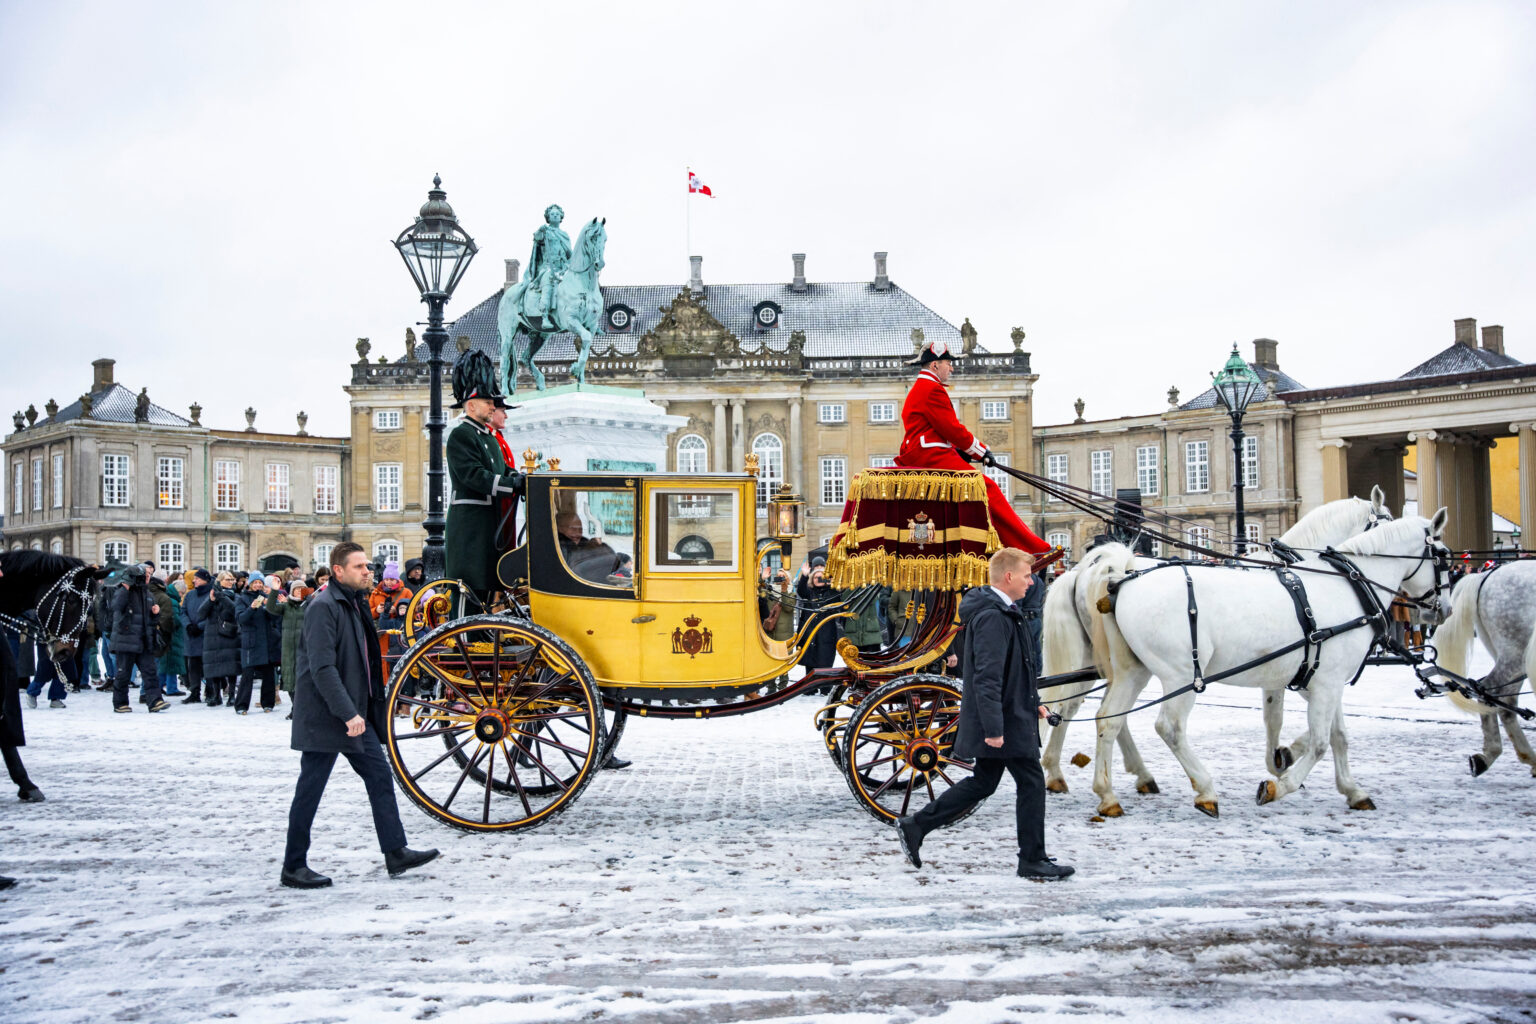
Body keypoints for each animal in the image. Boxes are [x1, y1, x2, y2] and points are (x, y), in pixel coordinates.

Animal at [1075, 509, 1443, 816]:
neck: (1345, 585)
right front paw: (1280, 782)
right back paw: (1205, 790)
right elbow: (1319, 741)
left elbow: (1334, 735)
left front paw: (1351, 789)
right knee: (1170, 728)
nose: (1442, 609)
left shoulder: (1321, 680)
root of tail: (1123, 577)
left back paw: (1108, 795)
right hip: (1181, 676)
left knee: (1109, 720)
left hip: (1133, 671)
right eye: (1442, 557)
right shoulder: (1323, 684)